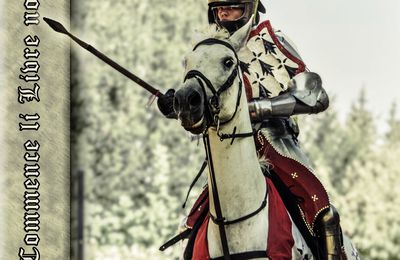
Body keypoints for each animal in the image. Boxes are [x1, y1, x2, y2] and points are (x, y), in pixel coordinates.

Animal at [173, 19, 360, 258]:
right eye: (186, 61)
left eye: (227, 62)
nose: (185, 101)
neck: (236, 223)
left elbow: (316, 98)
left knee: (327, 215)